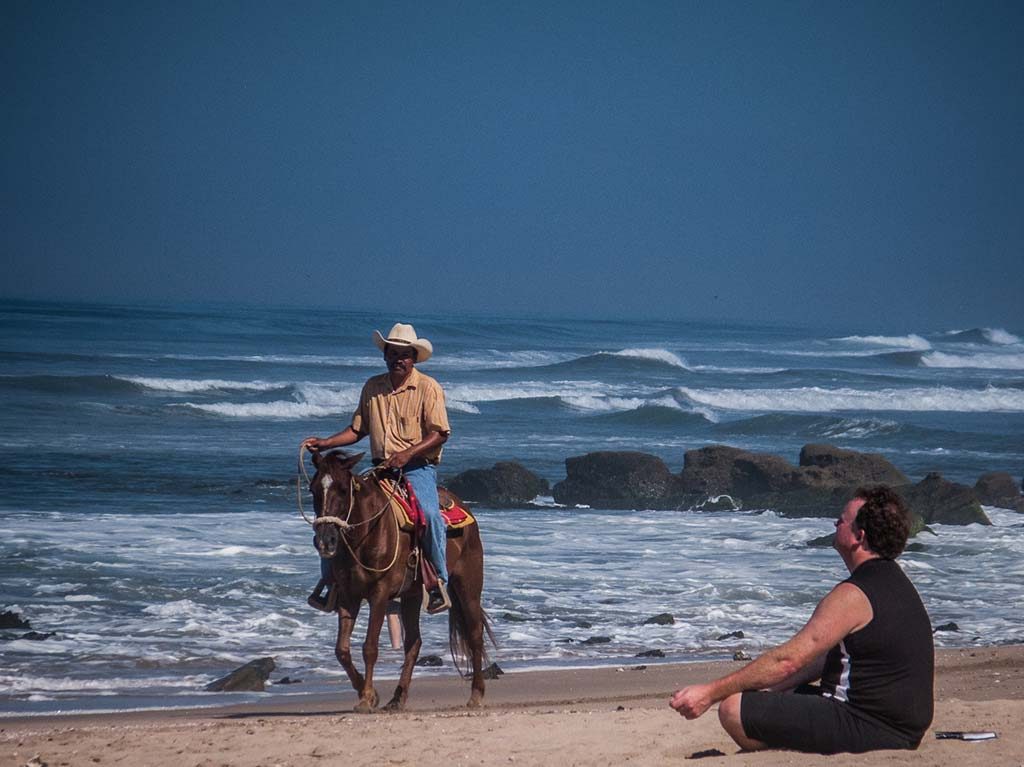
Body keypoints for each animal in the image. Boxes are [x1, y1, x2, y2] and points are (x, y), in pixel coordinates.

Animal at [305, 448, 493, 712]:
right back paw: (397, 697)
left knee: (475, 634)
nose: (325, 541)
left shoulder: (380, 594)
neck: (366, 534)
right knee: (413, 643)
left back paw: (476, 694)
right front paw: (370, 694)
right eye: (313, 489)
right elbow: (341, 650)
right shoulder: (348, 595)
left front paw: (366, 698)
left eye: (343, 489)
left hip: (468, 584)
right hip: (411, 595)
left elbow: (370, 647)